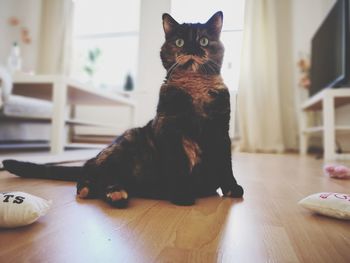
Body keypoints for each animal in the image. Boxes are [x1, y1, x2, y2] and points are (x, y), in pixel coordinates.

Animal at [2, 11, 243, 208]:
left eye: (203, 40)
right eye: (180, 41)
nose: (192, 49)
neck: (195, 89)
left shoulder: (221, 130)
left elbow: (226, 163)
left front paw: (232, 189)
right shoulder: (170, 131)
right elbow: (178, 164)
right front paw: (182, 194)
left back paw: (116, 193)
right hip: (125, 142)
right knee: (92, 169)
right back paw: (96, 190)